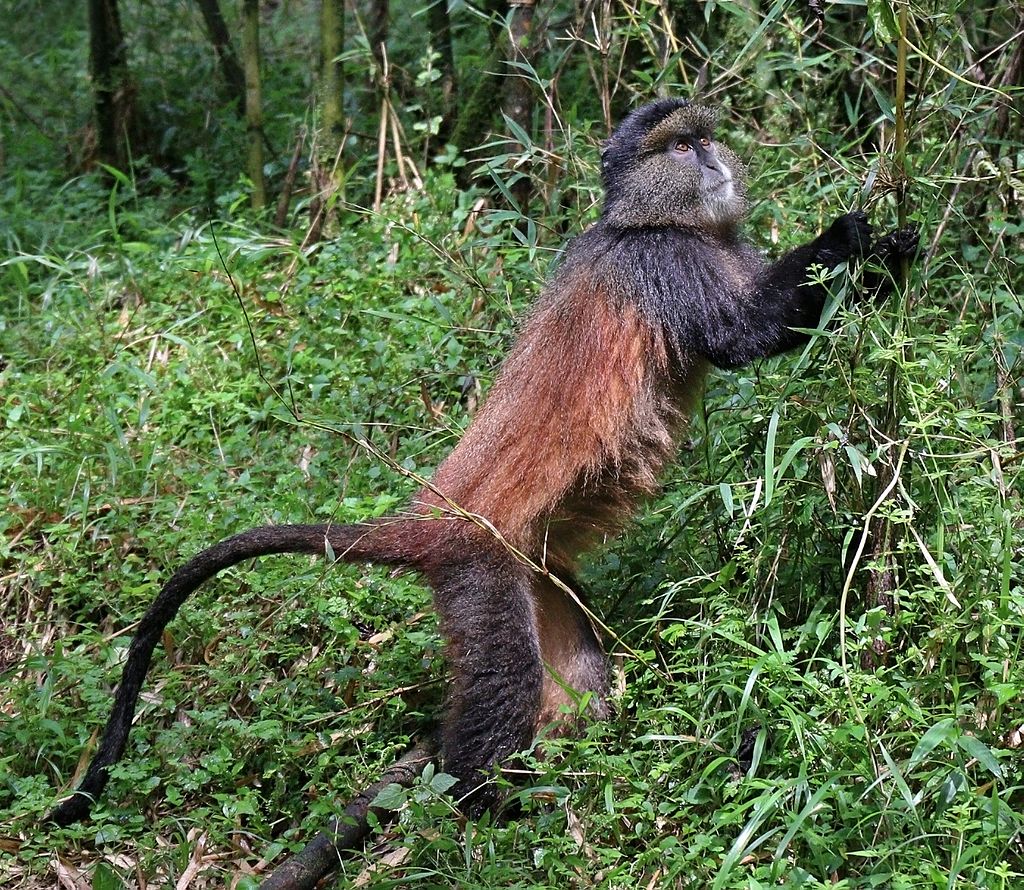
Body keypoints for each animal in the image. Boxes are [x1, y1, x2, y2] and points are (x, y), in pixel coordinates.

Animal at [48, 98, 919, 826]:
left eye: (705, 137)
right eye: (679, 145)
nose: (714, 160)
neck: (645, 221)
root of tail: (429, 516)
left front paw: (893, 253)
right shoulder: (664, 266)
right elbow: (752, 334)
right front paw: (857, 237)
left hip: (538, 576)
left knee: (578, 678)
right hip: (482, 573)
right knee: (502, 693)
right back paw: (486, 813)